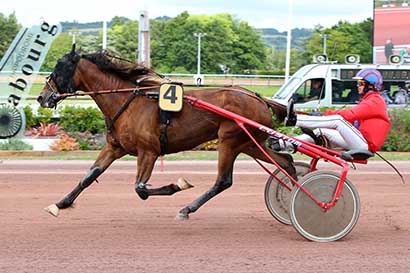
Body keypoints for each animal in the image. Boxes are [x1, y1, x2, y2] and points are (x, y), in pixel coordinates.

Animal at [37, 44, 294, 219]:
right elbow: (89, 176)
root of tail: (259, 98)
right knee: (286, 161)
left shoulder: (148, 151)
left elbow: (140, 189)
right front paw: (59, 204)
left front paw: (178, 185)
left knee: (223, 181)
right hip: (250, 143)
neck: (128, 99)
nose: (41, 97)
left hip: (230, 141)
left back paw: (187, 209)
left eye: (60, 68)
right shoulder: (115, 147)